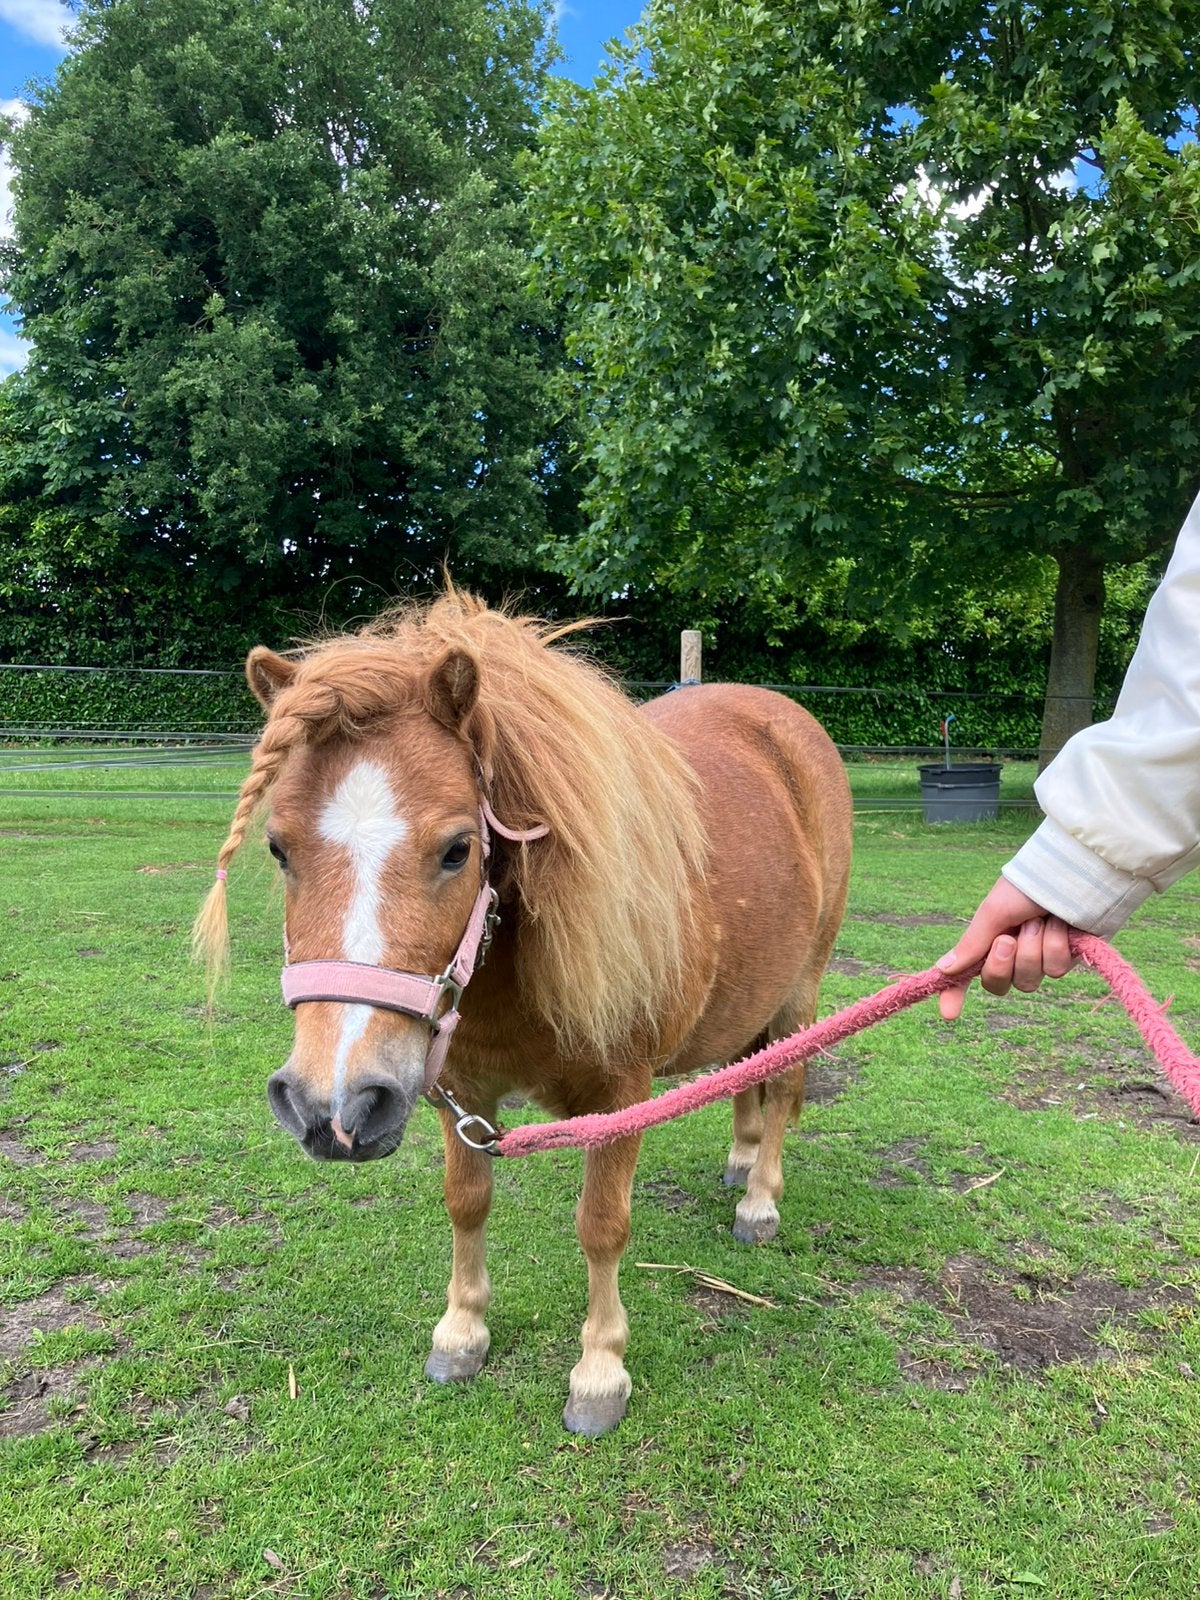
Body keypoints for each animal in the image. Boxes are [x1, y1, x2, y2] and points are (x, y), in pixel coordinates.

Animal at [194, 592, 853, 1435]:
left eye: (456, 849)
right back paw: (740, 1162)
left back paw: (760, 1199)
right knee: (747, 1069)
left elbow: (601, 1227)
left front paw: (600, 1373)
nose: (330, 1108)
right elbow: (466, 1203)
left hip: (802, 986)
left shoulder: (620, 1098)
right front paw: (461, 1333)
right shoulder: (454, 1092)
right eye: (278, 849)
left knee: (784, 1080)